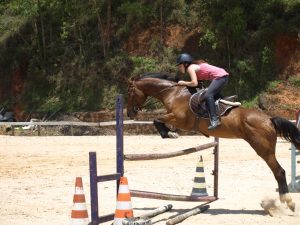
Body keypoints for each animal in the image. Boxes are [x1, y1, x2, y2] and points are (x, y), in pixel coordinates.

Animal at [127, 73, 300, 212]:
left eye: (130, 91)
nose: (129, 113)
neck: (173, 93)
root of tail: (269, 119)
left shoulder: (180, 120)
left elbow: (157, 119)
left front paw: (168, 133)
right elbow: (158, 120)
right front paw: (169, 132)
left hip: (263, 150)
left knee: (279, 172)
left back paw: (288, 201)